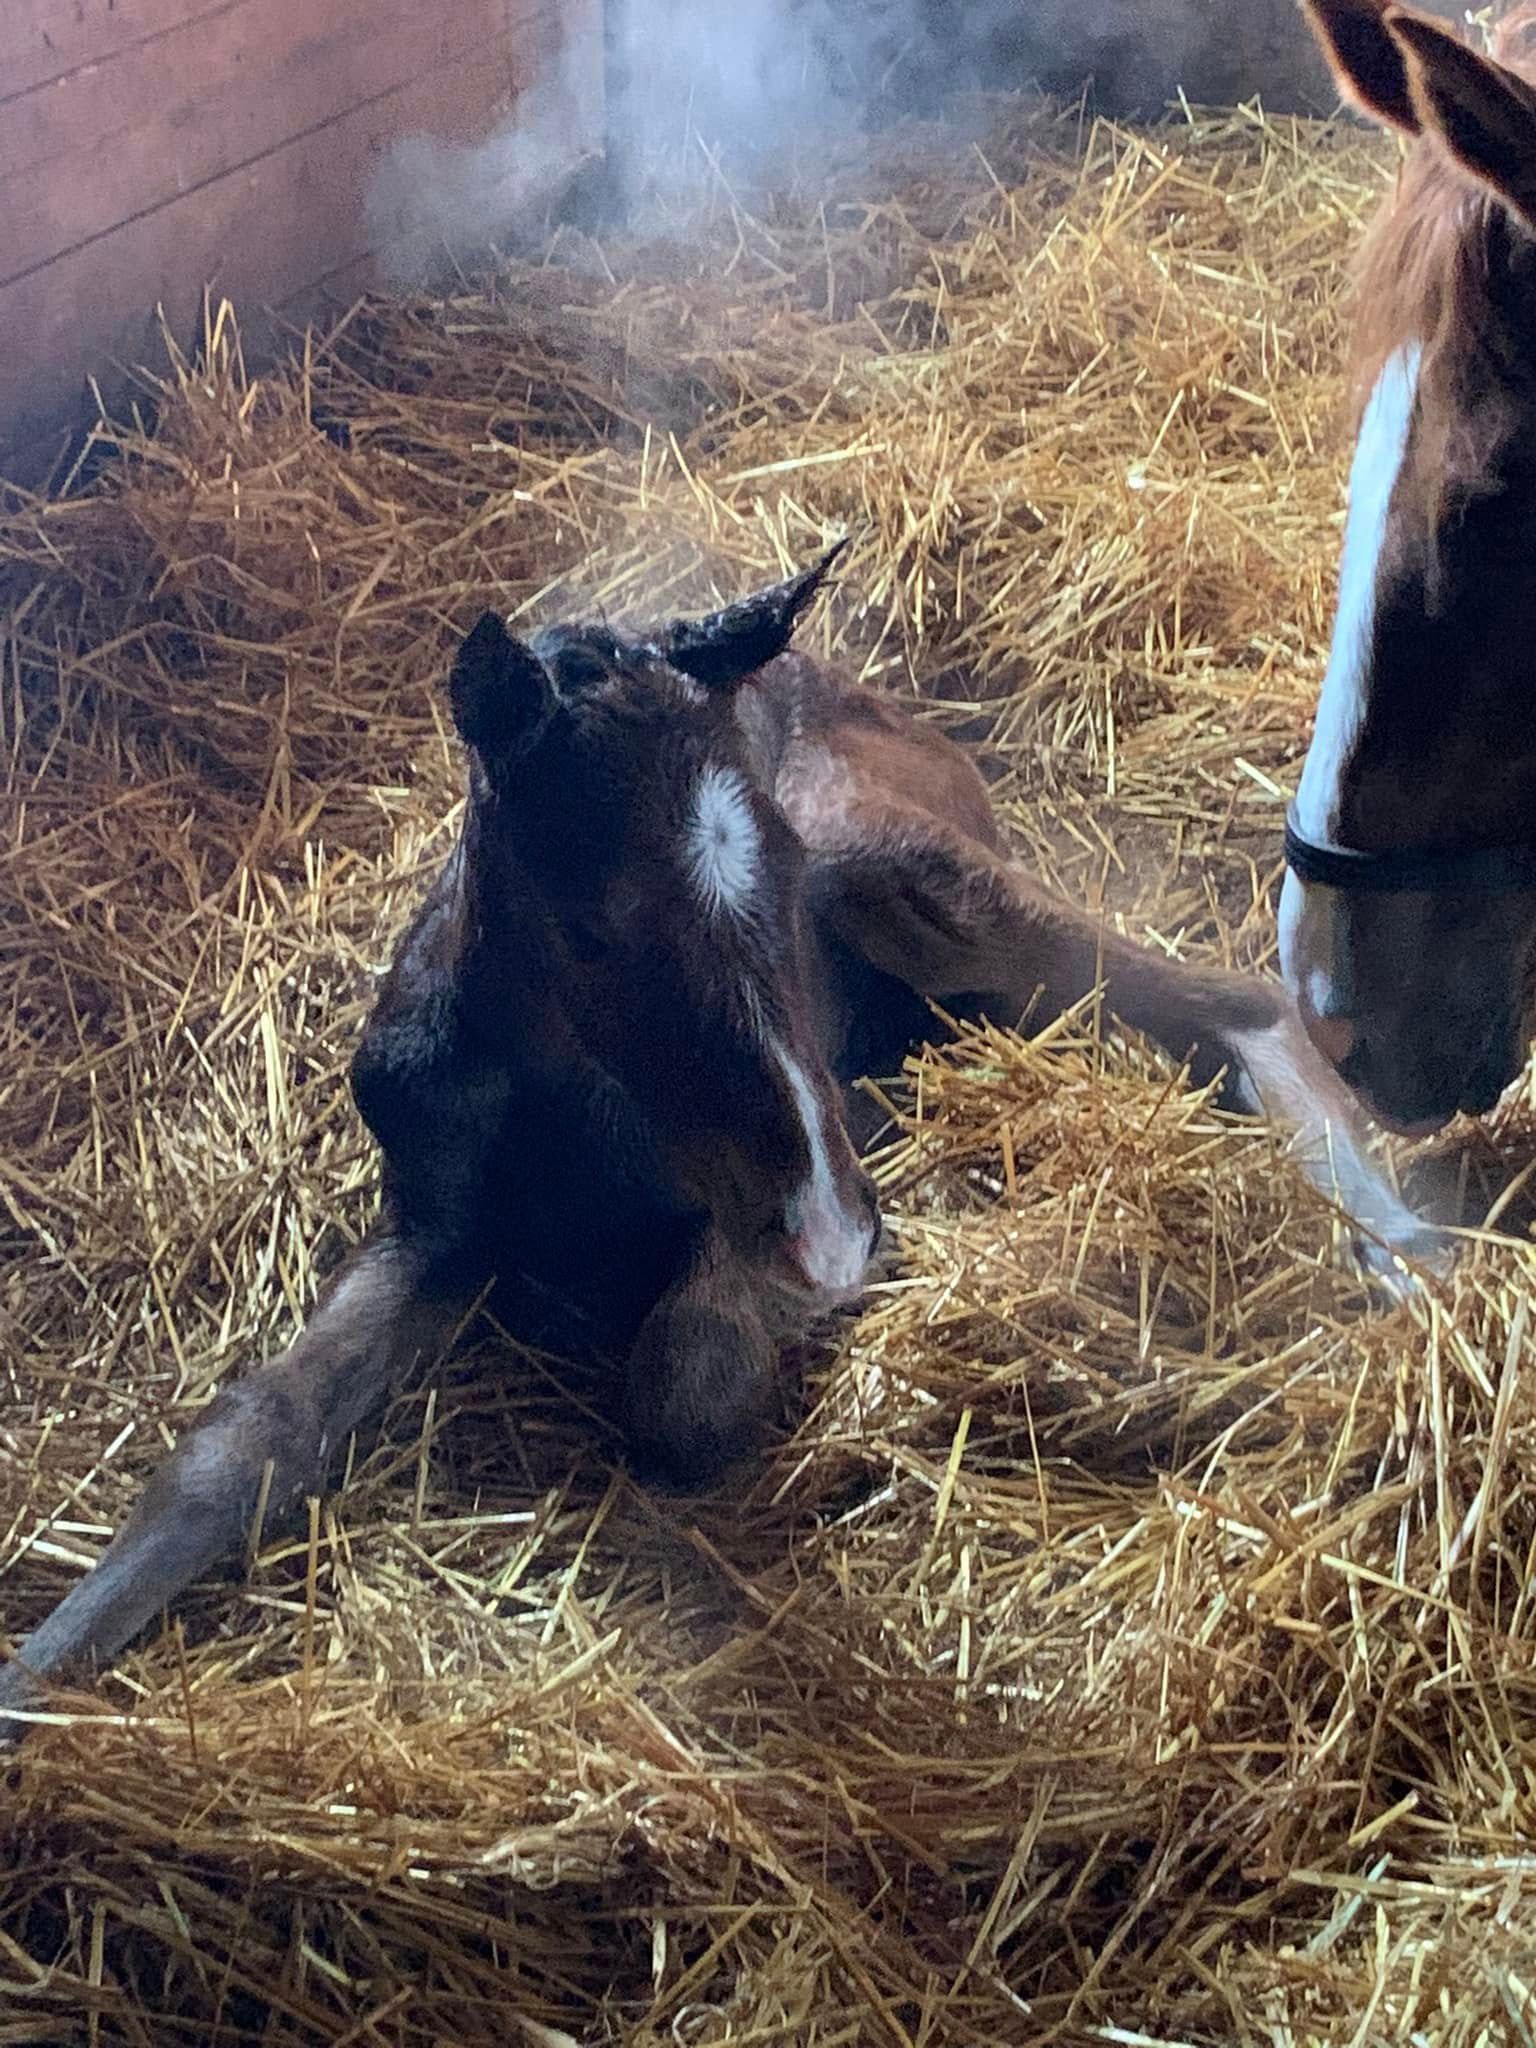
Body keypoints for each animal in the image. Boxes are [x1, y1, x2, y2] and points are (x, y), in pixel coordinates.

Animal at [0, 549, 1438, 1721]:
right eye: (588, 926)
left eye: (783, 878)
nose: (835, 1231)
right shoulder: (430, 1224)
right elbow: (240, 1444)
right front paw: (41, 1681)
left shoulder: (772, 1197)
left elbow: (683, 1380)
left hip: (922, 877)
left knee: (1237, 1004)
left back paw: (1416, 1263)